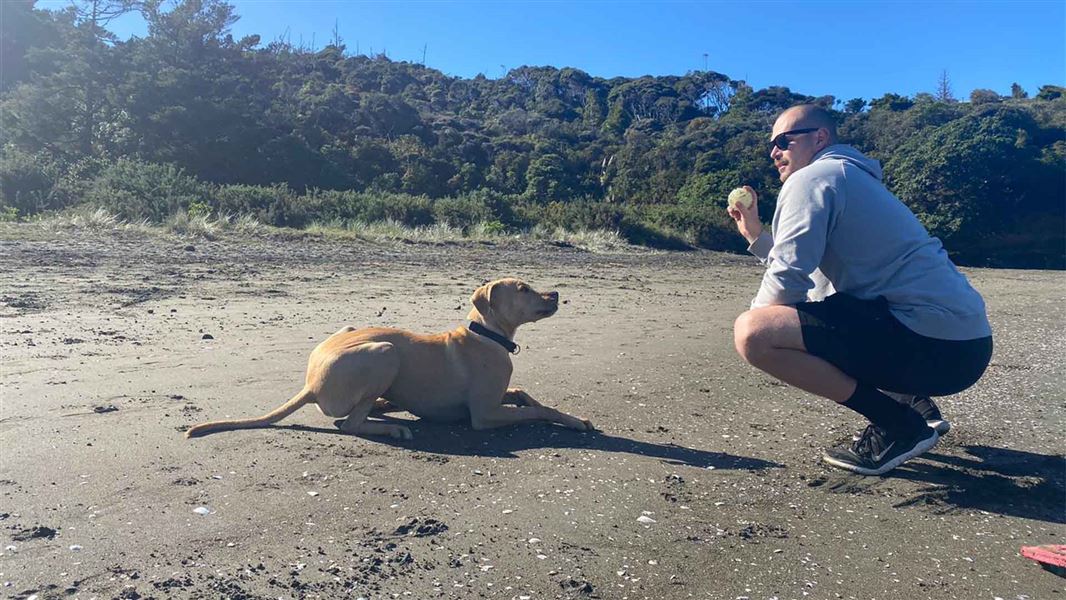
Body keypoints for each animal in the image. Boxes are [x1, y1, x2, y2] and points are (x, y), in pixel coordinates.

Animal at [183, 279, 592, 441]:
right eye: (523, 288)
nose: (557, 295)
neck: (487, 333)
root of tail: (311, 383)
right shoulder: (484, 415)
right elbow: (535, 410)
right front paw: (569, 420)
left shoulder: (500, 397)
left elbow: (525, 394)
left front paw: (575, 418)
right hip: (385, 352)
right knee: (349, 424)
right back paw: (391, 427)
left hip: (353, 331)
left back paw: (387, 407)